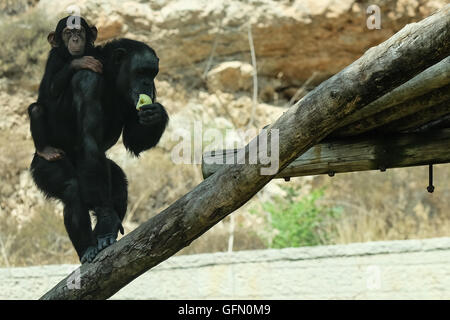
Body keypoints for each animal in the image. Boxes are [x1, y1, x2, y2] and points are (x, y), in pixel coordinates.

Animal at [28, 16, 102, 161]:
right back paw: (46, 151)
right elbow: (52, 89)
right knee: (36, 110)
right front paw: (79, 62)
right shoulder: (53, 58)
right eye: (68, 33)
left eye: (79, 31)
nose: (75, 39)